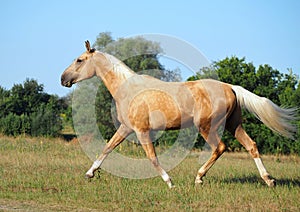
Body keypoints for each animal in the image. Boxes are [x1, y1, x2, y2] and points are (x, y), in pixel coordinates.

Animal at [60, 40, 296, 188]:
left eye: (80, 60)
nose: (63, 79)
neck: (128, 89)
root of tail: (230, 87)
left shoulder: (141, 130)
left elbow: (152, 157)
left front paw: (169, 182)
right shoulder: (126, 128)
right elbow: (107, 148)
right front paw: (90, 173)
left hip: (207, 127)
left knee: (219, 148)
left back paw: (199, 178)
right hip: (234, 124)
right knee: (251, 146)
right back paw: (269, 180)